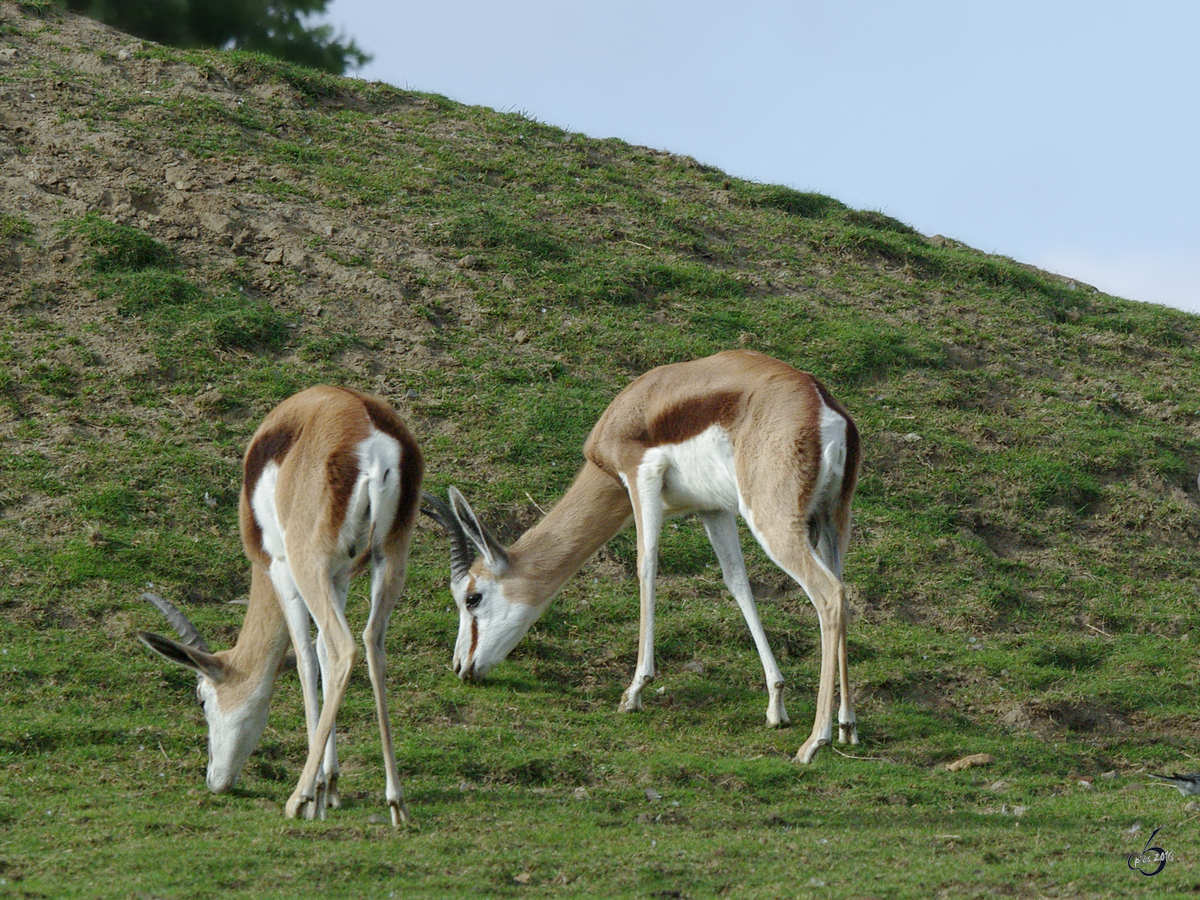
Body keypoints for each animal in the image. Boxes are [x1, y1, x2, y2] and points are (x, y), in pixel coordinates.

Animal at [137, 384, 422, 830]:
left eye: (202, 699)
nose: (214, 780)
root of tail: (370, 432)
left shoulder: (280, 567)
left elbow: (307, 658)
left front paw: (314, 792)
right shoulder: (339, 574)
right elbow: (320, 652)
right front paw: (332, 786)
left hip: (307, 562)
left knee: (345, 649)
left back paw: (297, 797)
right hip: (389, 557)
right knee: (371, 643)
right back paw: (396, 802)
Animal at [427, 348, 859, 763]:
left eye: (472, 598)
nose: (460, 667)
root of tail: (820, 403)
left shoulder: (640, 476)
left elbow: (646, 567)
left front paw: (634, 691)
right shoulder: (712, 509)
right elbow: (737, 583)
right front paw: (776, 702)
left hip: (772, 521)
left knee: (828, 595)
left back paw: (813, 743)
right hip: (832, 522)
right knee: (841, 589)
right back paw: (847, 727)